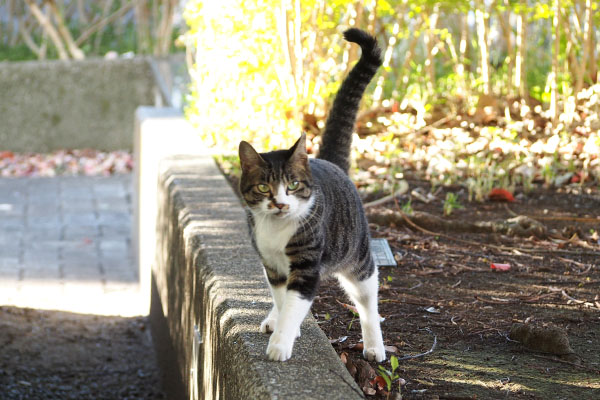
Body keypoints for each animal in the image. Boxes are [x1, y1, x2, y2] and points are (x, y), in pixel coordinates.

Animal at [239, 26, 384, 360]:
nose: (280, 204)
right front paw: (283, 326)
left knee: (368, 301)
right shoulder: (272, 265)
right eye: (264, 187)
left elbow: (296, 304)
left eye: (292, 185)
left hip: (357, 255)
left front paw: (280, 345)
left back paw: (375, 346)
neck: (277, 229)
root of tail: (330, 162)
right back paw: (272, 318)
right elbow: (283, 301)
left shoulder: (306, 264)